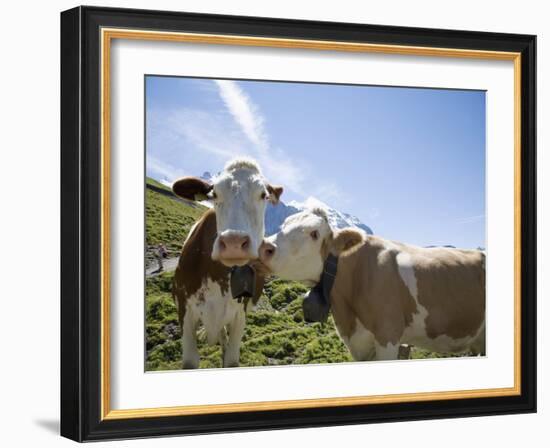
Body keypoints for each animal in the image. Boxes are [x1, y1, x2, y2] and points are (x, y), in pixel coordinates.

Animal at [172, 158, 284, 368]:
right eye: (214, 193)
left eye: (263, 195)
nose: (234, 243)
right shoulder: (185, 310)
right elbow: (190, 361)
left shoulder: (239, 315)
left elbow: (231, 359)